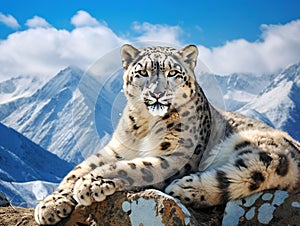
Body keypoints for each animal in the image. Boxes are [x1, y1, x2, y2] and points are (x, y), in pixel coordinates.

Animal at [34, 44, 298, 224]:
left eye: (173, 73)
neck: (144, 125)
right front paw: (51, 205)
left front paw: (92, 183)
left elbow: (136, 167)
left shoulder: (176, 157)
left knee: (246, 174)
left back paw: (185, 188)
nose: (157, 93)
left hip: (263, 151)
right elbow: (76, 170)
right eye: (142, 73)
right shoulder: (114, 149)